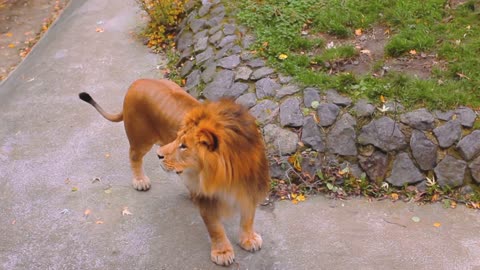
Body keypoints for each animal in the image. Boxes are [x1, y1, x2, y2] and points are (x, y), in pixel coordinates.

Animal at [158, 99, 270, 266]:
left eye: (183, 146)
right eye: (177, 138)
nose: (158, 155)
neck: (228, 177)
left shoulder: (250, 188)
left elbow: (248, 218)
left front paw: (248, 239)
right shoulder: (208, 199)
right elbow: (215, 228)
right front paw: (222, 252)